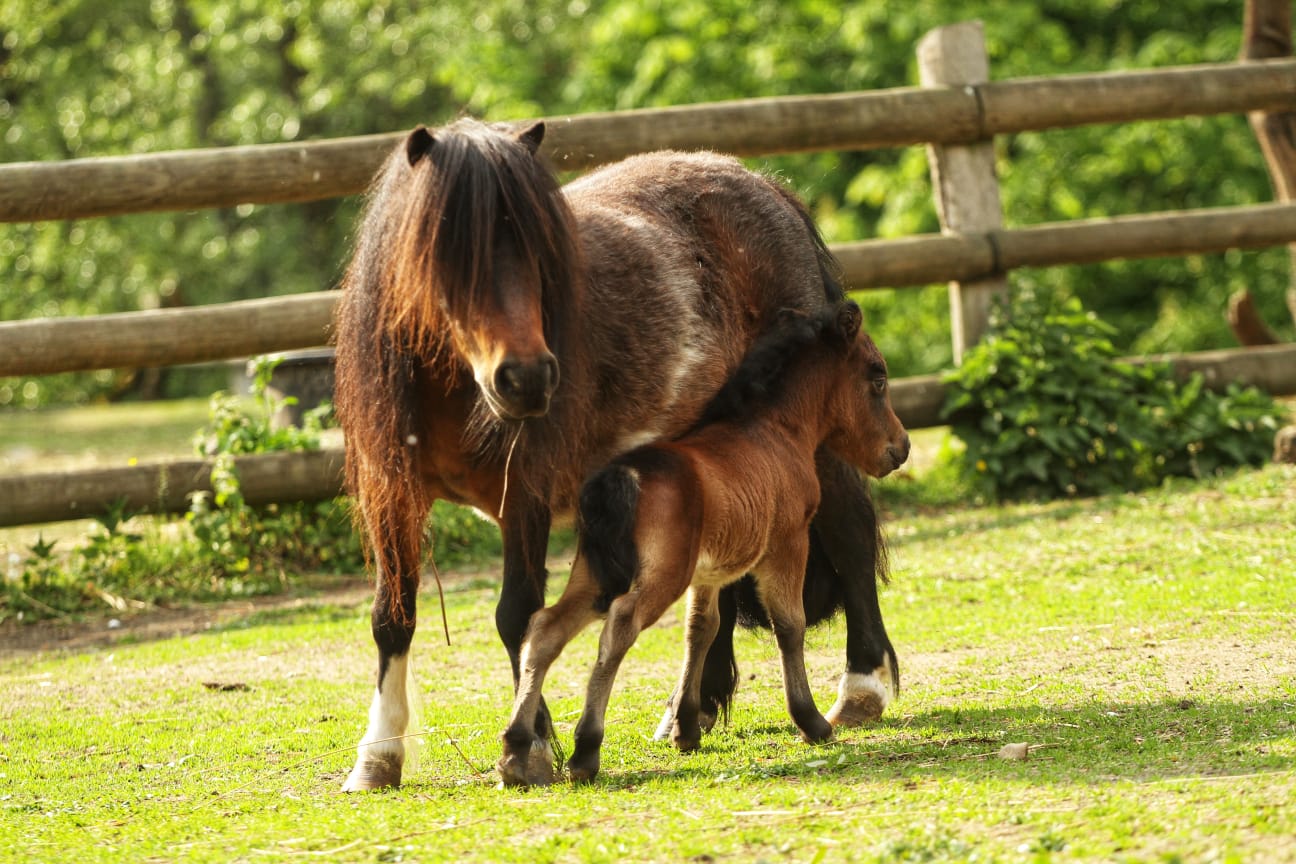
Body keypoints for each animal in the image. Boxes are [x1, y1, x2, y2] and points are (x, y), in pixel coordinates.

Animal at [500, 300, 907, 787]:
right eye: (877, 377)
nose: (901, 447)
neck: (775, 429)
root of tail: (621, 477)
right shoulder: (786, 542)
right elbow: (789, 624)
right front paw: (811, 722)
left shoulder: (709, 571)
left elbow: (701, 631)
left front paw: (687, 729)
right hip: (660, 575)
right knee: (618, 627)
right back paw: (585, 751)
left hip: (593, 573)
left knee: (545, 629)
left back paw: (516, 750)